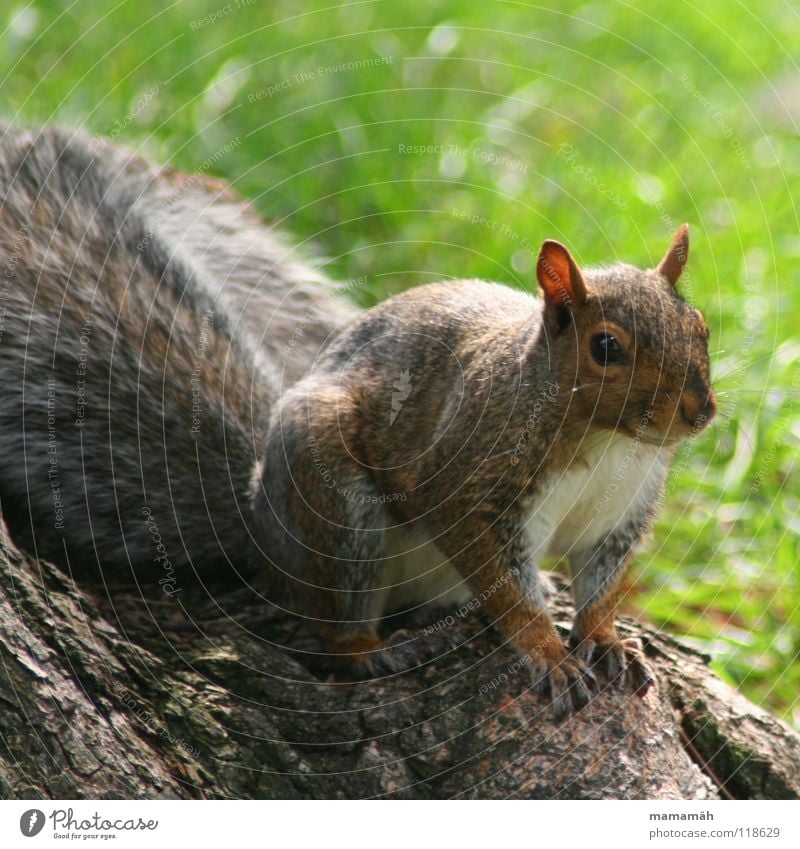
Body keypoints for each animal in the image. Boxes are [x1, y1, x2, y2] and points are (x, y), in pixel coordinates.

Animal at [0, 126, 712, 712]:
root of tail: (263, 531)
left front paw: (605, 639)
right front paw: (547, 653)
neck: (612, 441)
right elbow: (502, 578)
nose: (699, 413)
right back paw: (373, 648)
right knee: (332, 622)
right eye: (606, 348)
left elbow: (602, 583)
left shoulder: (620, 511)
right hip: (337, 508)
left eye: (701, 325)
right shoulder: (473, 481)